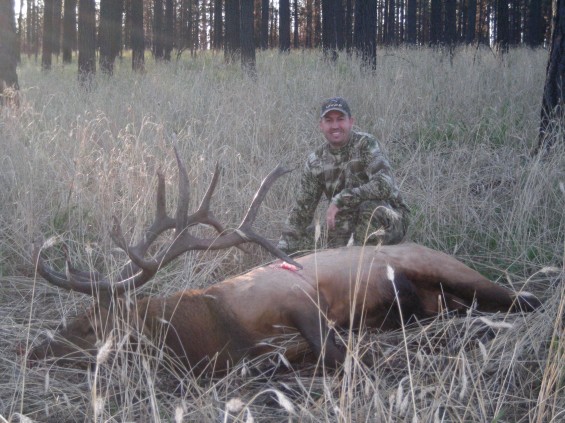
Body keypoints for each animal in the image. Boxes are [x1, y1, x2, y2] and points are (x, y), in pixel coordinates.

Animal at [27, 150, 540, 374]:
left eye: (88, 325)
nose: (32, 349)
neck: (216, 326)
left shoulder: (296, 297)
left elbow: (333, 351)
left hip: (449, 269)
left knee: (524, 298)